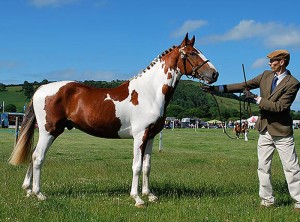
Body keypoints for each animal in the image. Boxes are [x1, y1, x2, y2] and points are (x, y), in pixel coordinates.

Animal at [8, 33, 218, 208]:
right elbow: (137, 166)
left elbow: (147, 166)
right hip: (48, 131)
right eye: (192, 53)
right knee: (38, 157)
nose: (215, 74)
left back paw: (28, 190)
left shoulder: (150, 136)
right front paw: (137, 198)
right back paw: (39, 194)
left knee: (33, 155)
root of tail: (40, 89)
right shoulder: (139, 136)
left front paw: (149, 195)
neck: (150, 93)